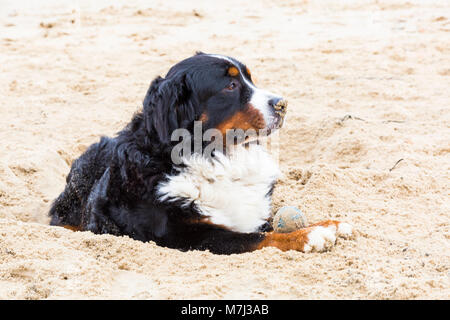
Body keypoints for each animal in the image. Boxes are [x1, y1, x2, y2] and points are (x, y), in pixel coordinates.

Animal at [49, 51, 352, 254]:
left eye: (250, 79)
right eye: (231, 85)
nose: (282, 104)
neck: (216, 156)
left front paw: (333, 223)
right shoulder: (190, 236)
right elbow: (257, 238)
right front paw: (310, 235)